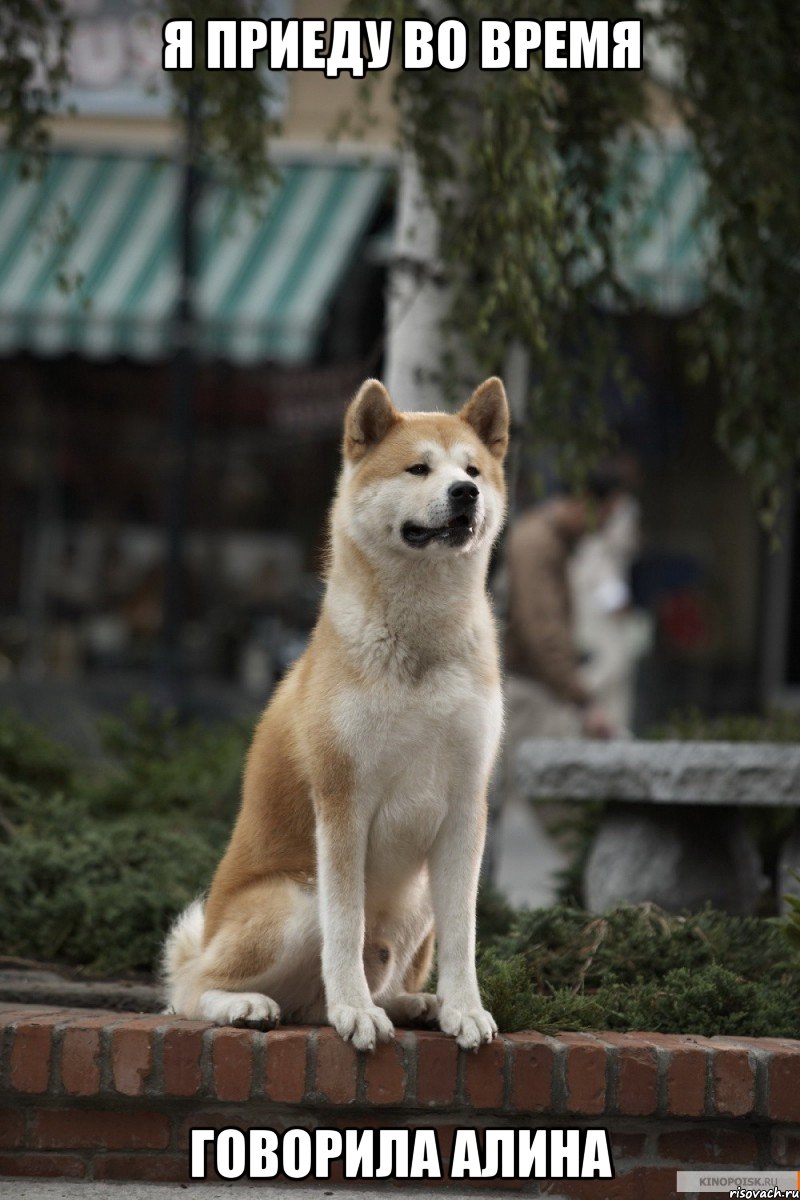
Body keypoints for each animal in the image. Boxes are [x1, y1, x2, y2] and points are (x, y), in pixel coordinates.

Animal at [164, 374, 506, 1051]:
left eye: (473, 469)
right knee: (189, 990)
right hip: (296, 900)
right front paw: (355, 1011)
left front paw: (464, 1009)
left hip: (416, 900)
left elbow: (465, 934)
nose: (466, 493)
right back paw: (251, 1004)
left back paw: (413, 1003)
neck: (420, 644)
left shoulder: (465, 806)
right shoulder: (344, 801)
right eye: (419, 468)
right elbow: (345, 928)